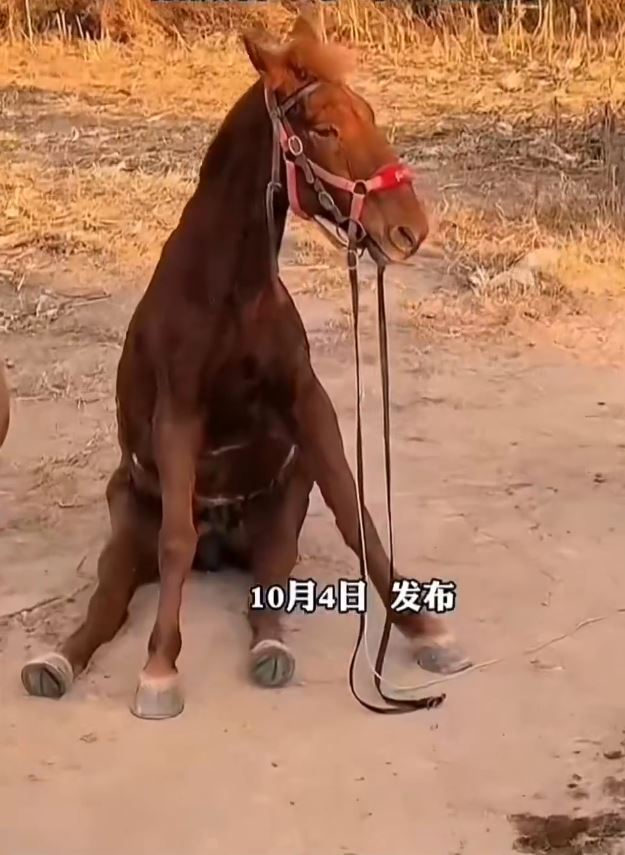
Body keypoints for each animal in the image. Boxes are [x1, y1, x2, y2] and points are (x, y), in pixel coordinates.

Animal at [21, 14, 471, 719]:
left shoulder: (306, 398)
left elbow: (355, 513)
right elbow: (175, 541)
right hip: (127, 521)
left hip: (282, 508)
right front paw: (159, 670)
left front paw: (425, 629)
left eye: (368, 114)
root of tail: (222, 547)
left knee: (268, 581)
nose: (409, 230)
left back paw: (271, 651)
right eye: (324, 129)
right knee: (111, 597)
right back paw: (55, 662)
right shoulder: (178, 414)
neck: (232, 292)